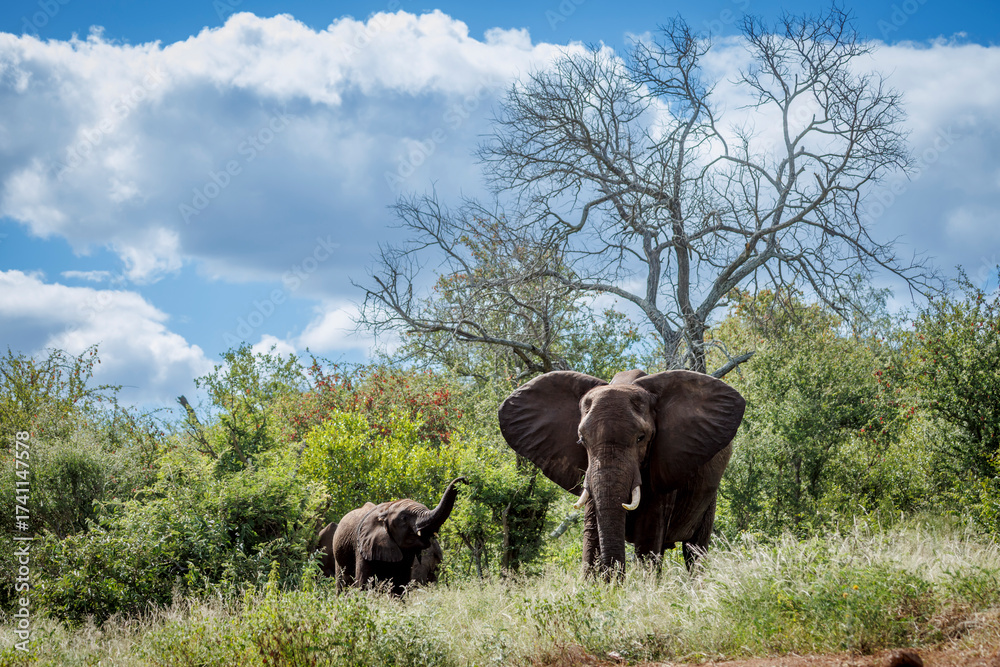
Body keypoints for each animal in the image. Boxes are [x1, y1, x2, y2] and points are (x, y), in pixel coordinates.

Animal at [332, 477, 466, 594]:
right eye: (404, 518)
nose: (466, 480)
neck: (386, 508)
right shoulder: (362, 546)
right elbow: (364, 584)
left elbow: (399, 586)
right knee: (342, 583)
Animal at [499, 369, 745, 575]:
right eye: (581, 441)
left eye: (641, 438)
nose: (615, 581)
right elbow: (592, 538)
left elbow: (648, 539)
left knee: (694, 552)